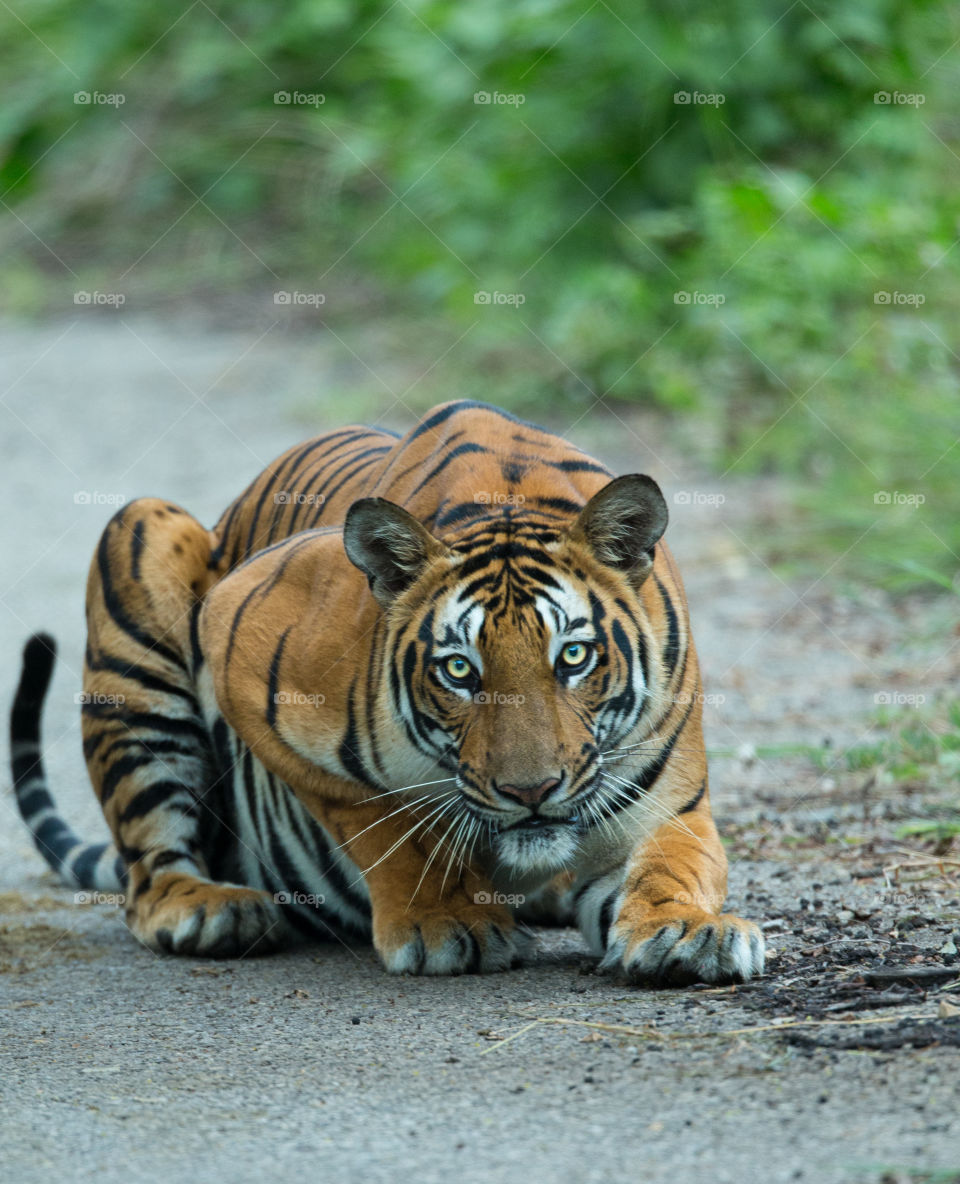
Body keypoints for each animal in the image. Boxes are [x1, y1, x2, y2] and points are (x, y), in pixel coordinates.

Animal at [10, 400, 764, 983]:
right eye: (459, 671)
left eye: (573, 657)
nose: (530, 792)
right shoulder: (240, 643)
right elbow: (383, 821)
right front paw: (445, 923)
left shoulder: (665, 802)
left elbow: (675, 863)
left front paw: (690, 930)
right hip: (142, 536)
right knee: (148, 867)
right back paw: (208, 907)